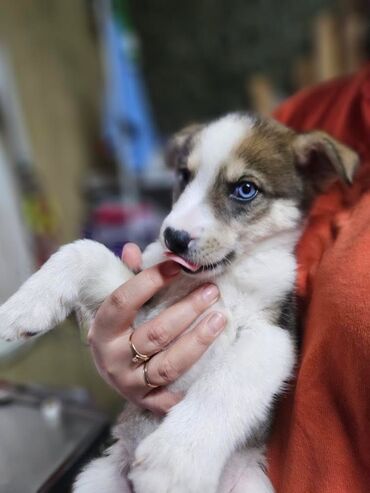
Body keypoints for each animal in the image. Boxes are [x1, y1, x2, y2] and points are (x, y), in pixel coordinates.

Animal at [0, 113, 358, 490]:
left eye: (245, 189)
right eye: (184, 175)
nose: (172, 237)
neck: (220, 278)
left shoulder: (273, 336)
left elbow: (226, 384)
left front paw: (174, 461)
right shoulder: (141, 303)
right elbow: (85, 250)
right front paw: (24, 307)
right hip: (96, 476)